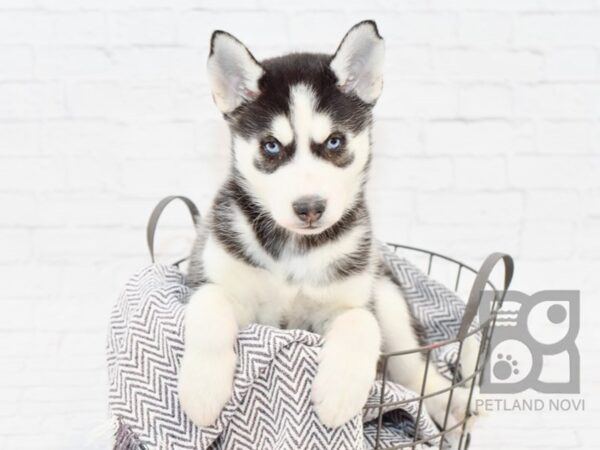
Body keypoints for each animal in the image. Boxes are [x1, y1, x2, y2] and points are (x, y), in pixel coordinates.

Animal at [178, 21, 474, 432]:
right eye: (271, 147)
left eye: (335, 141)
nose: (309, 208)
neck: (294, 250)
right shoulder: (212, 278)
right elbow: (209, 304)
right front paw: (202, 390)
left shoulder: (350, 299)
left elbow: (362, 322)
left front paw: (339, 395)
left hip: (389, 293)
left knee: (416, 367)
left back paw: (451, 402)